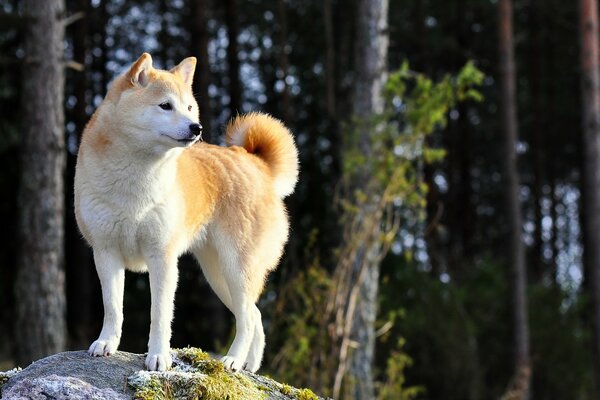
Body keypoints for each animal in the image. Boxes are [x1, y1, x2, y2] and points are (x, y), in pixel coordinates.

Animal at [74, 52, 298, 372]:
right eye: (165, 105)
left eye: (190, 107)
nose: (197, 128)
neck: (135, 180)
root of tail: (257, 164)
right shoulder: (106, 252)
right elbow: (113, 308)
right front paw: (107, 344)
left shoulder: (162, 257)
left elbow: (159, 315)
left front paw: (158, 356)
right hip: (218, 274)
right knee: (254, 315)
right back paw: (250, 365)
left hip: (238, 267)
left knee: (247, 319)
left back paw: (233, 360)